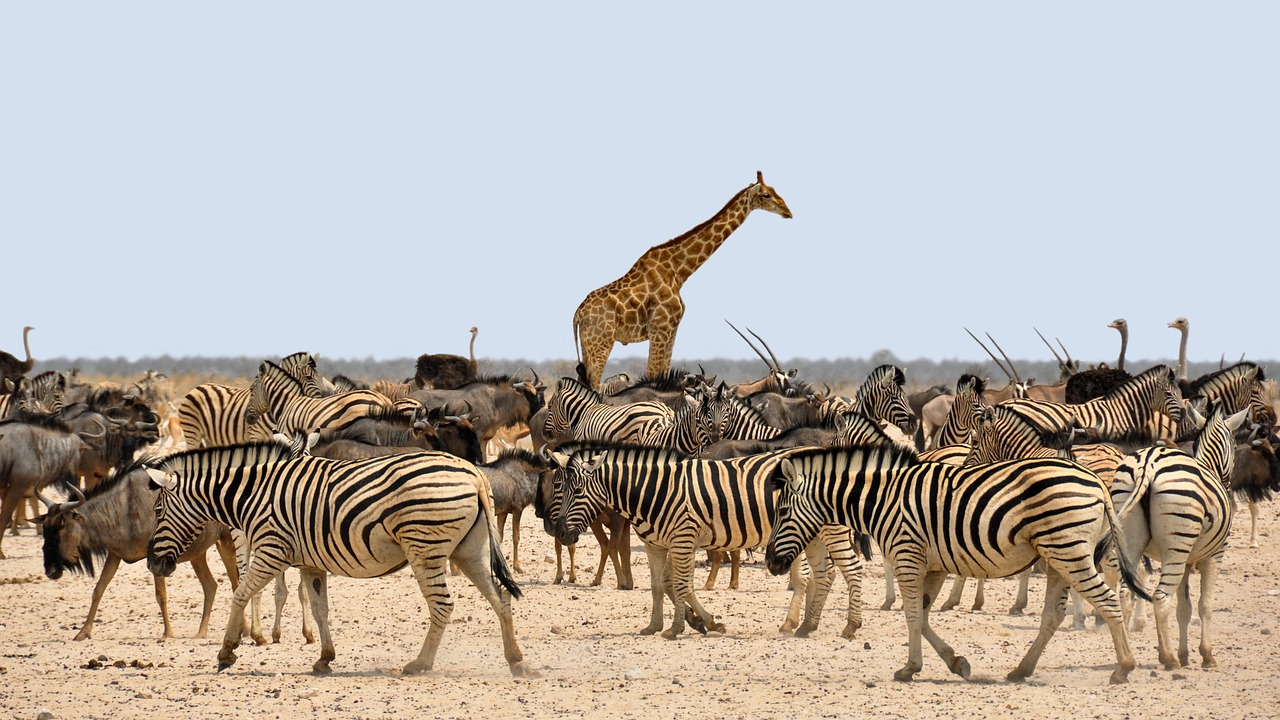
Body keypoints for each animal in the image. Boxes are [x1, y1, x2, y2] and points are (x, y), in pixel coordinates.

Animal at [142, 440, 532, 676]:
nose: (153, 564)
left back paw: (420, 664)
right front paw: (324, 659)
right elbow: (320, 609)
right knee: (500, 598)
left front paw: (227, 651)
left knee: (443, 606)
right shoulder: (310, 562)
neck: (254, 493)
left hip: (425, 547)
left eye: (158, 511)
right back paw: (516, 662)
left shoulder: (271, 550)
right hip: (470, 549)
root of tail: (475, 473)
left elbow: (240, 594)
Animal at [545, 443, 865, 638]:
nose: (559, 532)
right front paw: (661, 624)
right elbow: (660, 585)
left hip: (830, 530)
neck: (652, 491)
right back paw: (805, 624)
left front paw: (678, 628)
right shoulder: (656, 544)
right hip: (810, 533)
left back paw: (847, 626)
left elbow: (681, 585)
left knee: (849, 570)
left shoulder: (683, 539)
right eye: (559, 486)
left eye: (576, 490)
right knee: (824, 574)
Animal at [570, 170, 788, 389]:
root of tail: (577, 314)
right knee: (595, 385)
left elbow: (664, 374)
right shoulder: (660, 329)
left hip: (588, 345)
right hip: (601, 343)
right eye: (766, 194)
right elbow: (651, 376)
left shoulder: (672, 330)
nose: (788, 212)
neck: (679, 271)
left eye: (775, 190)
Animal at [757, 443, 1152, 681]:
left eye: (781, 511)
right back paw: (1021, 669)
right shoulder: (932, 565)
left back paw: (1124, 667)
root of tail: (1096, 481)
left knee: (1108, 601)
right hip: (1057, 555)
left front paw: (909, 667)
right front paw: (955, 662)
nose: (771, 563)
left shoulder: (907, 554)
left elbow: (912, 615)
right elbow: (923, 616)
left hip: (1069, 549)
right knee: (1053, 615)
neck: (882, 498)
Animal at [1111, 404, 1249, 666]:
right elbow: (1205, 605)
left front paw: (1185, 654)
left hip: (1132, 540)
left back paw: (1127, 656)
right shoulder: (1215, 555)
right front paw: (1206, 655)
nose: (1229, 488)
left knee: (1123, 593)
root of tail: (1148, 464)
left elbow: (1184, 609)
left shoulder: (1186, 561)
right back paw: (1168, 658)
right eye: (1235, 446)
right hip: (1176, 546)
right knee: (1161, 597)